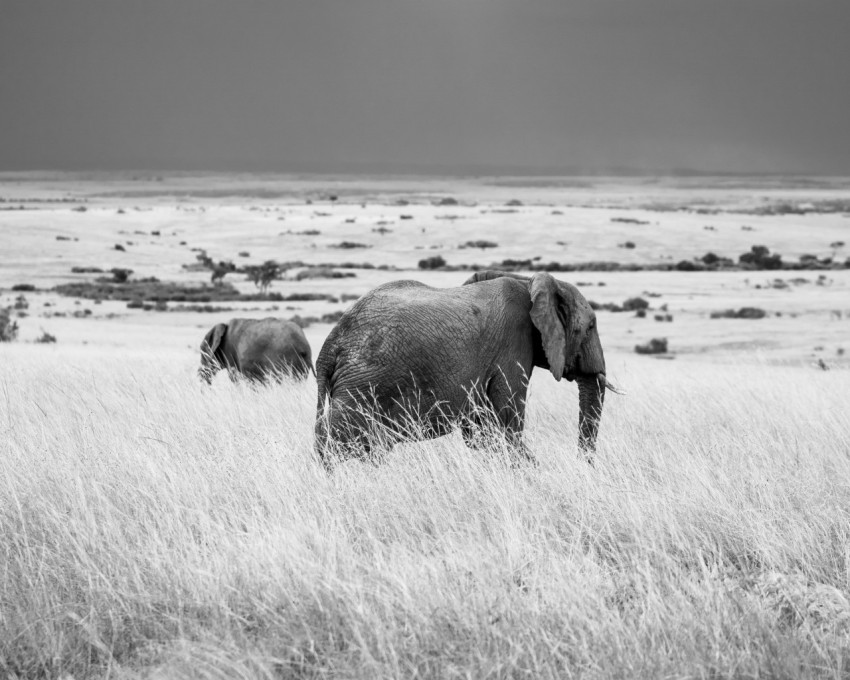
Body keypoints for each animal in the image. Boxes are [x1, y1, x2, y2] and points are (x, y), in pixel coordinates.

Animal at [314, 270, 612, 468]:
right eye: (590, 327)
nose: (580, 465)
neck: (528, 282)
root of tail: (329, 347)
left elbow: (481, 431)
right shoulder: (513, 346)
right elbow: (507, 421)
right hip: (363, 383)